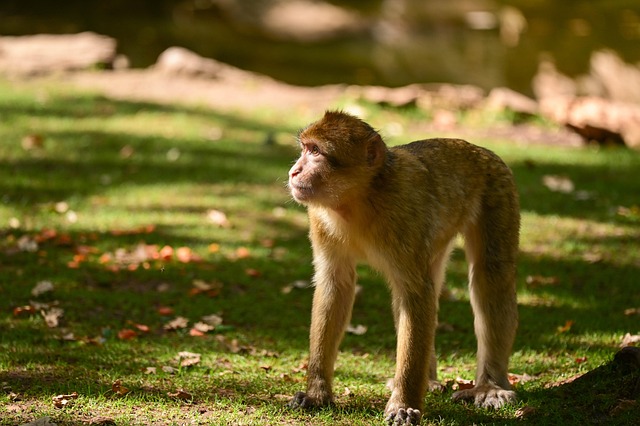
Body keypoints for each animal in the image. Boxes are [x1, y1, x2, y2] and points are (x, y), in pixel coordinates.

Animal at [287, 111, 519, 425]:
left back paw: (490, 386)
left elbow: (415, 293)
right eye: (304, 148)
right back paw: (429, 381)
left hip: (499, 190)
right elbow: (336, 286)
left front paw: (403, 404)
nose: (294, 171)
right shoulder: (320, 219)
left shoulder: (403, 210)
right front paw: (316, 393)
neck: (358, 199)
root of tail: (481, 150)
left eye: (315, 152)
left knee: (490, 278)